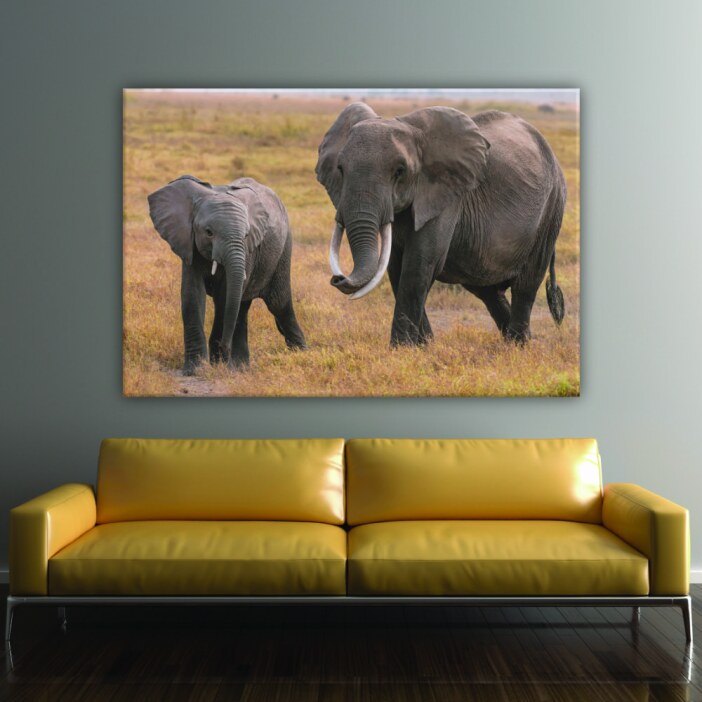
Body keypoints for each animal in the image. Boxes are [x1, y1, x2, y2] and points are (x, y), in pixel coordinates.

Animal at [148, 175, 306, 374]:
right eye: (209, 232)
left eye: (246, 234)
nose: (224, 347)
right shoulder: (189, 245)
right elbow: (192, 296)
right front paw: (196, 369)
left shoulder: (248, 250)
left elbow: (224, 299)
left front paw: (217, 363)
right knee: (242, 307)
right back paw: (241, 366)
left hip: (284, 248)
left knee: (278, 303)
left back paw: (301, 353)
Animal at [315, 103, 567, 345]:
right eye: (340, 169)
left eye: (400, 171)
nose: (338, 278)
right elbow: (396, 267)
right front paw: (424, 346)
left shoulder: (447, 194)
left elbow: (419, 264)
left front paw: (402, 348)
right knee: (488, 290)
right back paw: (515, 343)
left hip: (552, 207)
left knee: (526, 284)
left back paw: (518, 345)